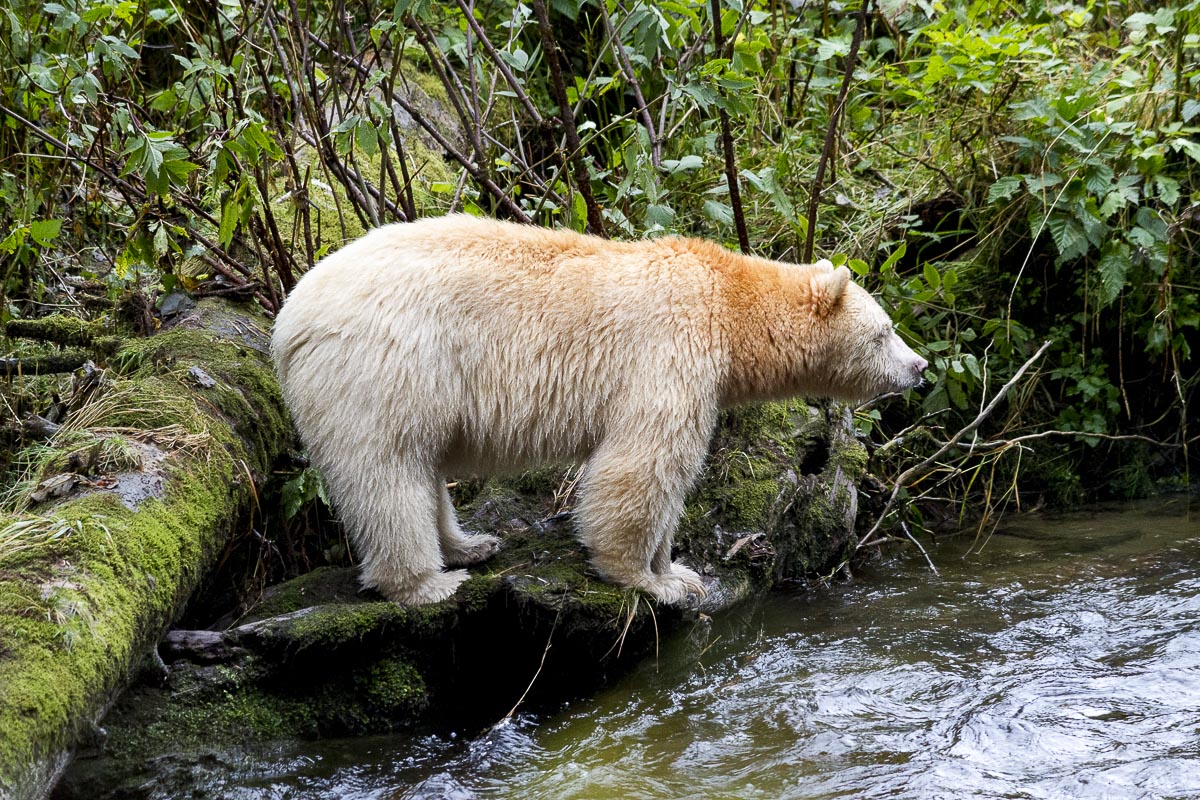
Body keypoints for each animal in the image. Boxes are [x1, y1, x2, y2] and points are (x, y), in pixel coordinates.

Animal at [271, 215, 927, 606]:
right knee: (389, 469)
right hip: (387, 365)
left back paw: (469, 544)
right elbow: (644, 464)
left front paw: (677, 568)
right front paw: (653, 580)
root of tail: (289, 322)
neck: (726, 300)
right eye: (886, 332)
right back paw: (429, 581)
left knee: (424, 465)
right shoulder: (670, 349)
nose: (920, 367)